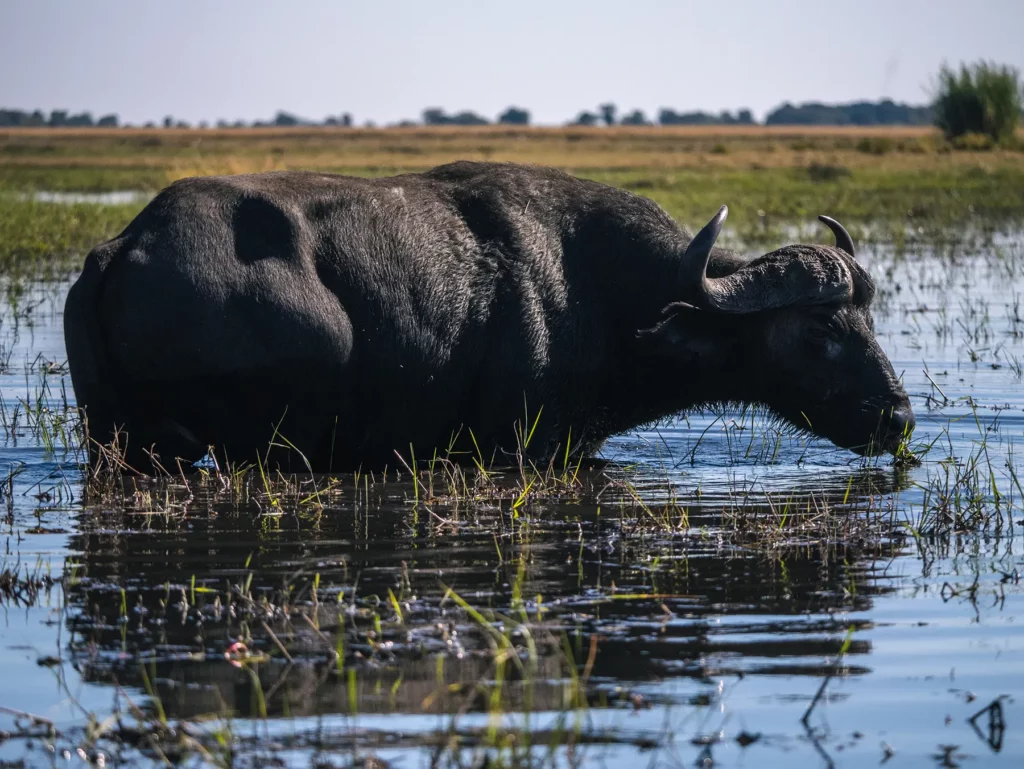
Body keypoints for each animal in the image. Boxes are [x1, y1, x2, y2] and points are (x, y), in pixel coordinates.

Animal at [63, 161, 914, 472]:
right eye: (822, 329)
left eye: (870, 321)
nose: (899, 416)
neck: (600, 291)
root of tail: (123, 246)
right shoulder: (522, 444)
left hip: (116, 441)